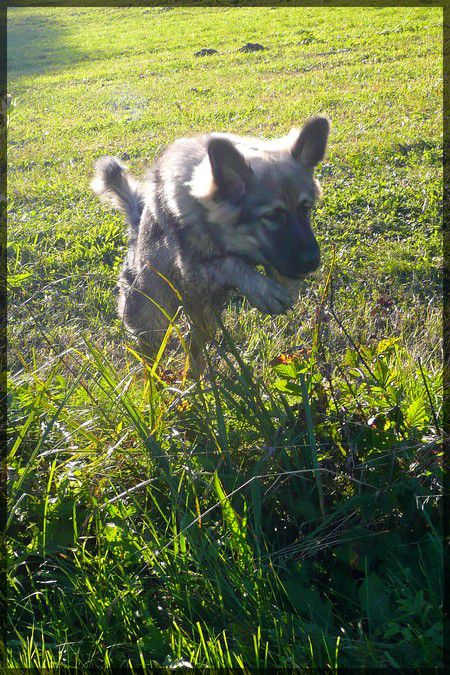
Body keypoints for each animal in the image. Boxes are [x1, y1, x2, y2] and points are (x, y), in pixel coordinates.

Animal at [92, 116, 330, 374]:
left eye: (305, 209)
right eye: (272, 216)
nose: (313, 261)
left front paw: (280, 282)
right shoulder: (193, 270)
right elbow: (230, 263)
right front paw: (263, 289)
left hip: (204, 320)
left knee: (195, 349)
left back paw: (196, 374)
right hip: (152, 321)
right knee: (151, 356)